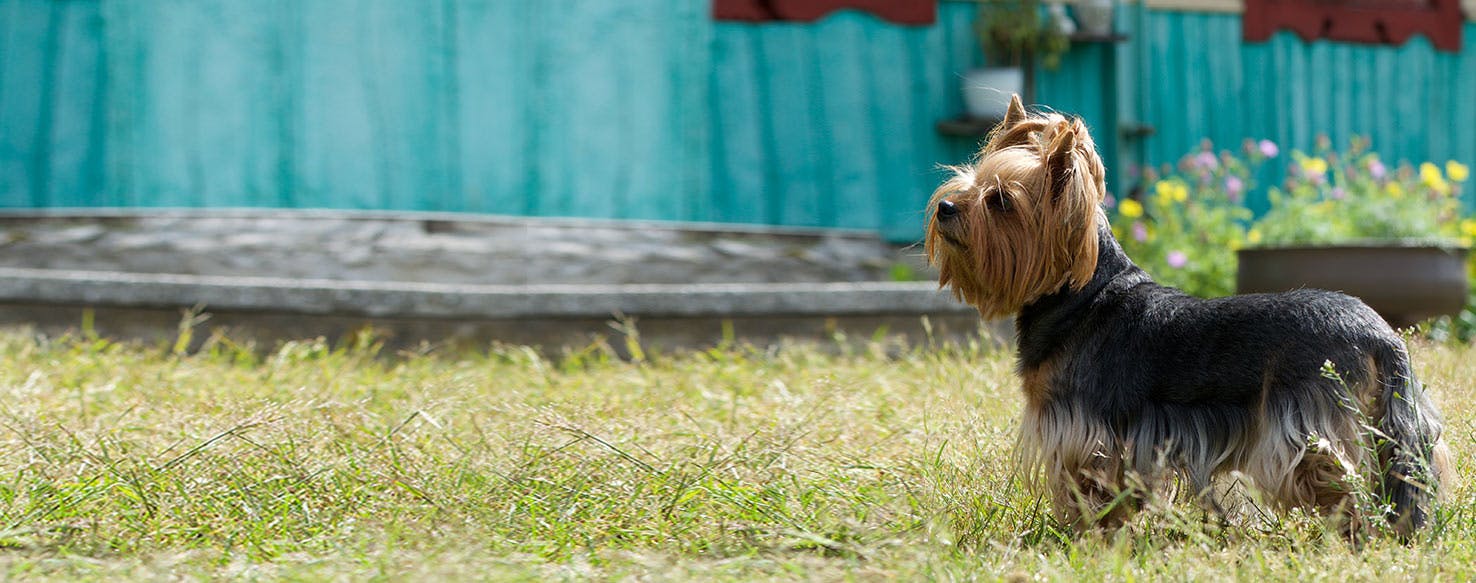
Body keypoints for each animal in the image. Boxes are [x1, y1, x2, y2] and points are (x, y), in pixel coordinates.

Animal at [926, 95, 1446, 540]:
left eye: (1000, 201)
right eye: (969, 182)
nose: (946, 207)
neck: (1081, 296)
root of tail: (1382, 333)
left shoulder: (1083, 431)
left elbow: (1091, 491)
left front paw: (1088, 537)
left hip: (1304, 426)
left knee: (1340, 481)